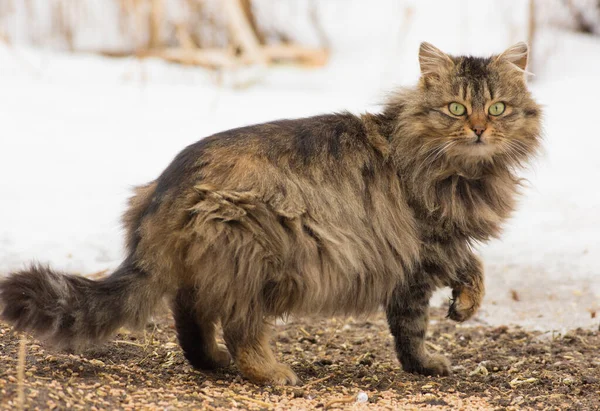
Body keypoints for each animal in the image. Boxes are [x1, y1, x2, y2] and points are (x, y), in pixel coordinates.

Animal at [0, 41, 540, 386]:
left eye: (497, 107)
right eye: (455, 108)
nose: (478, 130)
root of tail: (170, 184)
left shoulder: (414, 263)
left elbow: (413, 322)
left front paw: (425, 359)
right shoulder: (429, 244)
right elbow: (462, 275)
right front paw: (461, 312)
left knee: (189, 312)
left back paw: (210, 361)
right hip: (260, 246)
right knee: (239, 327)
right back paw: (270, 374)